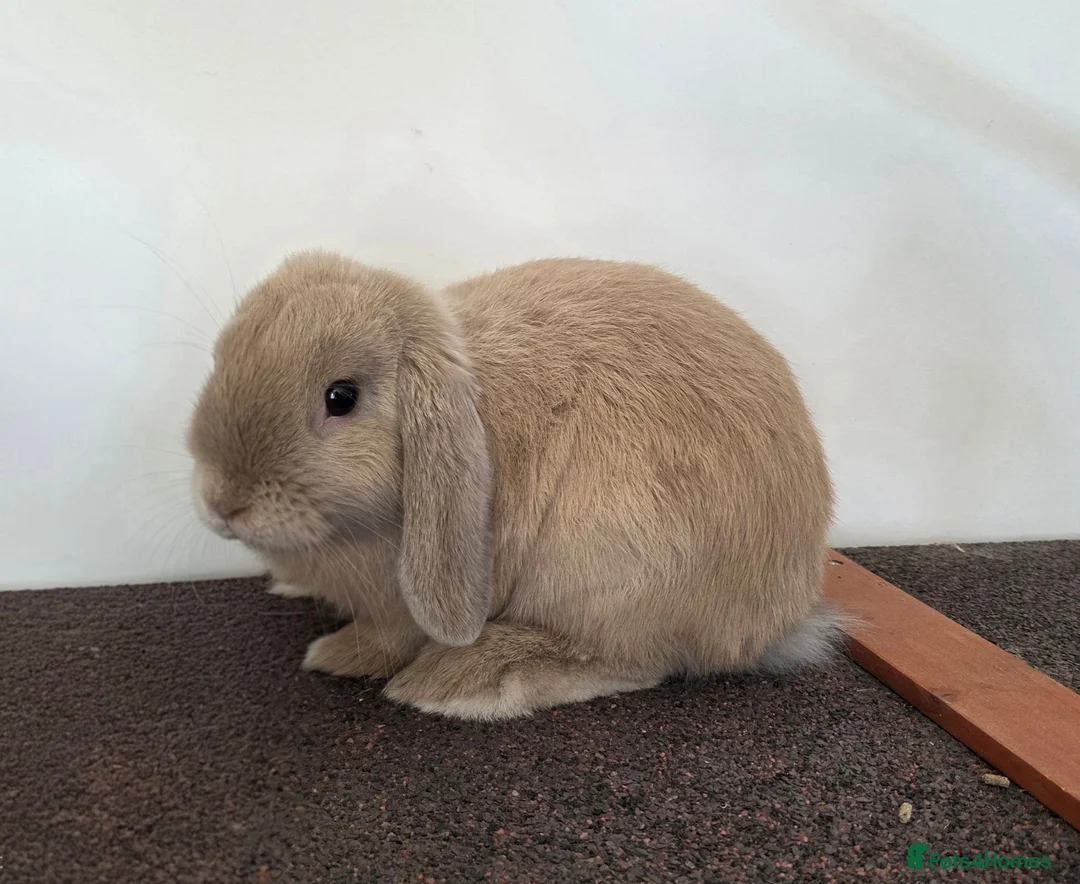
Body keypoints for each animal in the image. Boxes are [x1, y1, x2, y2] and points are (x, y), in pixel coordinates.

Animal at [186, 251, 843, 720]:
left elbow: (385, 638)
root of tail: (779, 614)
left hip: (612, 566)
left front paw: (335, 656)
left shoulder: (402, 606)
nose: (223, 503)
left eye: (340, 398)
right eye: (220, 358)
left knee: (634, 661)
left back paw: (465, 681)